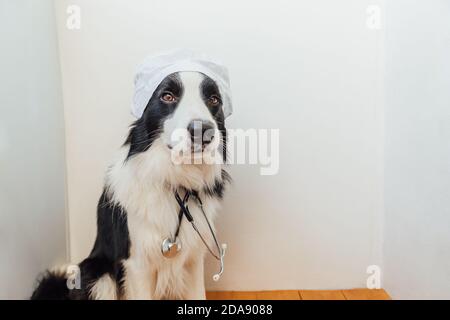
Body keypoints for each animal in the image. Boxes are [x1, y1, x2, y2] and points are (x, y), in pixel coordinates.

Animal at [30, 70, 232, 300]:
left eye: (214, 100)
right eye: (167, 96)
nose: (203, 131)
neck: (175, 181)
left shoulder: (194, 258)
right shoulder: (137, 264)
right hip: (99, 276)